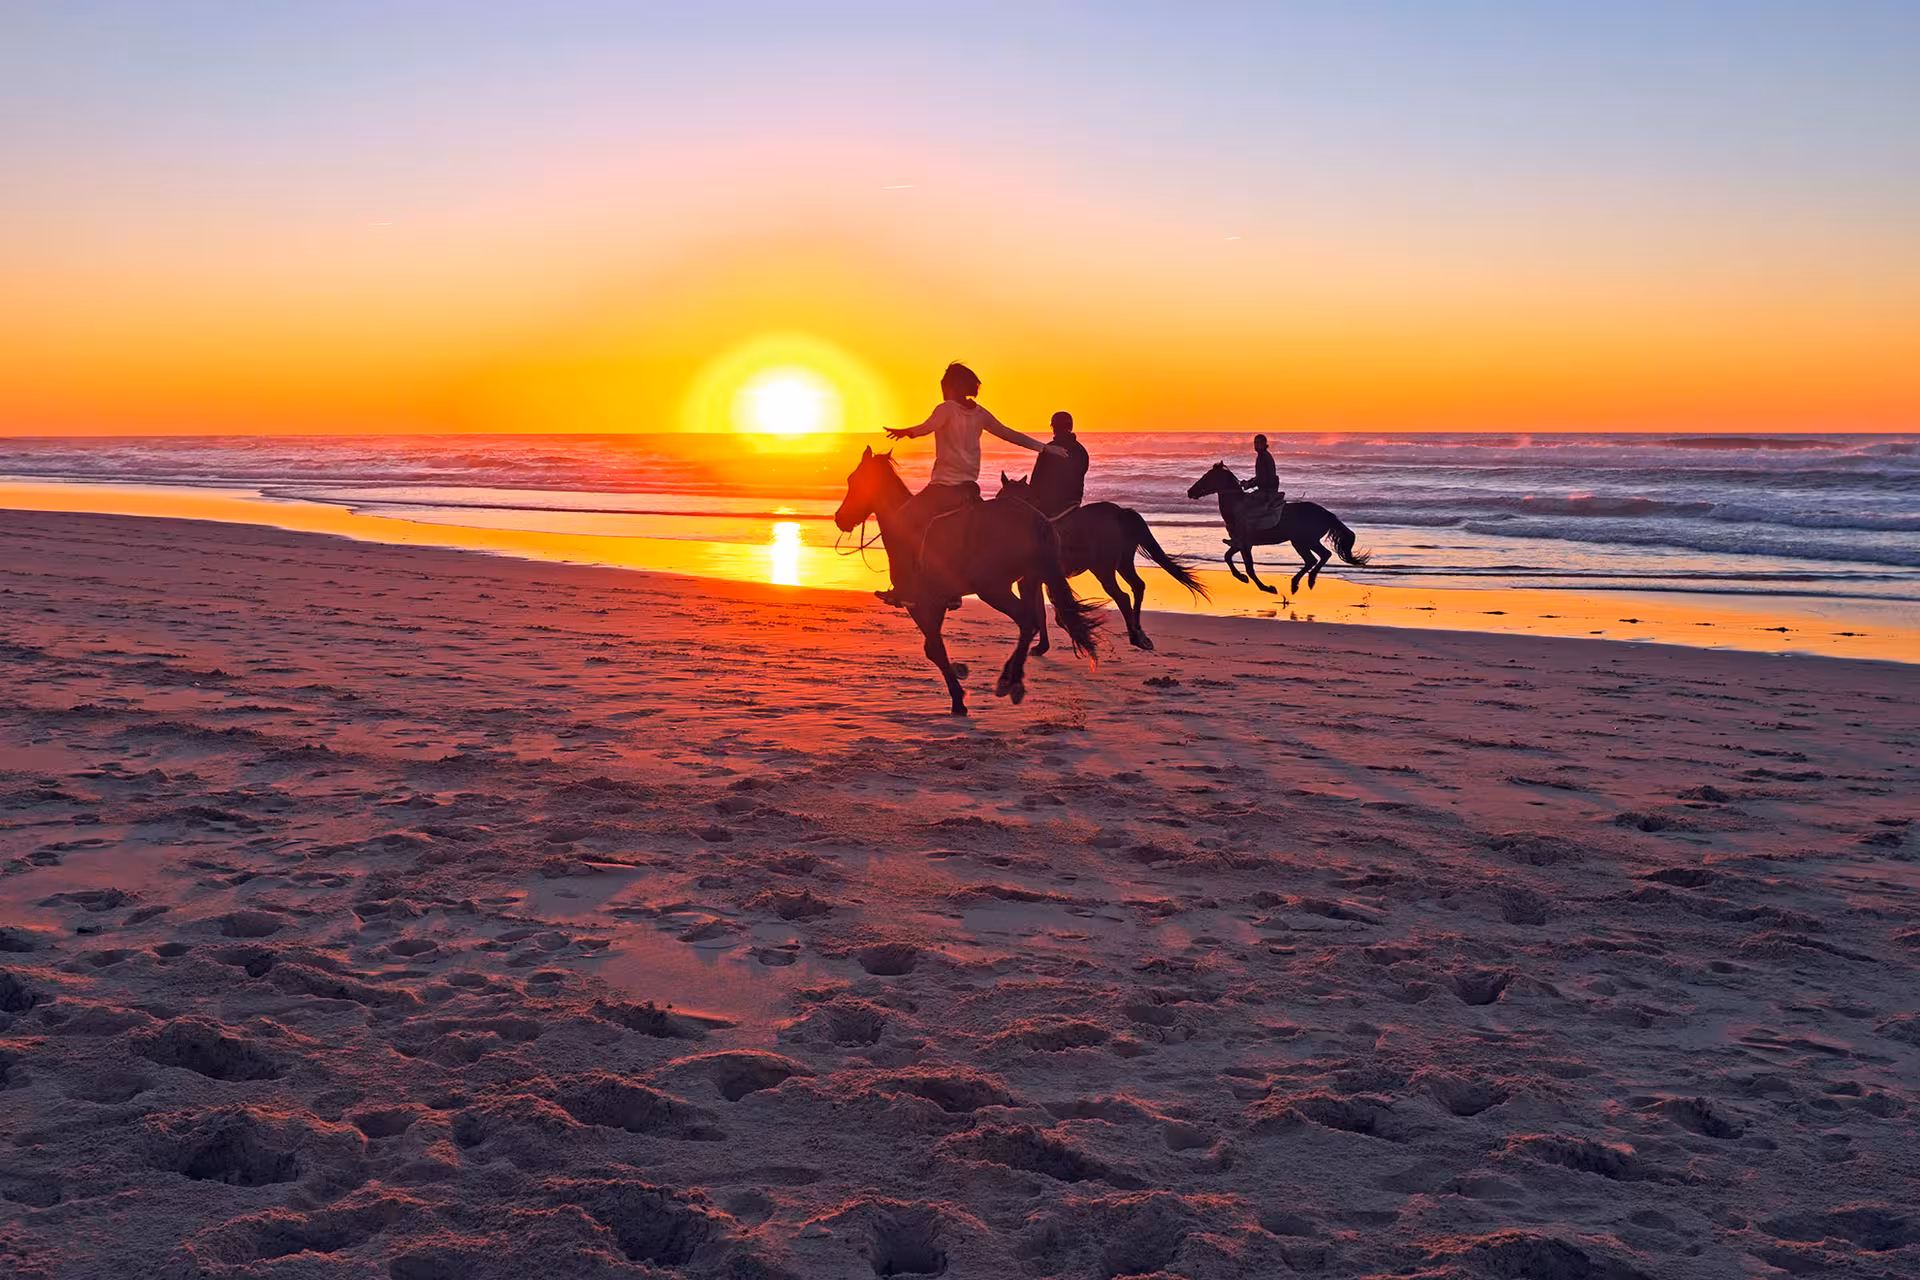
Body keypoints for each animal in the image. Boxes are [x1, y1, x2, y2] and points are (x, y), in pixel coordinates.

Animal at [834, 447, 1102, 715]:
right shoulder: (938, 601)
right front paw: (959, 675)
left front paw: (958, 698)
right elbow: (932, 649)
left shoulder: (921, 604)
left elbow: (935, 649)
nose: (839, 518)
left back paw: (1009, 681)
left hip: (994, 590)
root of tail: (1036, 519)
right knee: (1032, 621)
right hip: (1027, 580)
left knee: (1027, 622)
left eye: (853, 480)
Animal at [995, 473, 1208, 653]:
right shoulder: (1036, 580)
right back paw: (1139, 633)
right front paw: (1042, 646)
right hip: (1123, 564)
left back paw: (1135, 637)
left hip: (1103, 570)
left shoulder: (1028, 581)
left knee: (1122, 597)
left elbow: (1036, 610)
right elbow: (1040, 610)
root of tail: (1119, 512)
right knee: (1138, 586)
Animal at [1185, 463, 1372, 593]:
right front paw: (1241, 578)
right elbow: (1228, 557)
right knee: (1316, 558)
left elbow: (1249, 568)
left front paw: (1266, 588)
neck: (1238, 506)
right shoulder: (1240, 543)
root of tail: (1327, 514)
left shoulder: (1245, 544)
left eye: (1207, 477)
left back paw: (1305, 581)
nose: (1190, 492)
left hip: (1303, 541)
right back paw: (1300, 582)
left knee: (1318, 557)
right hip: (1303, 541)